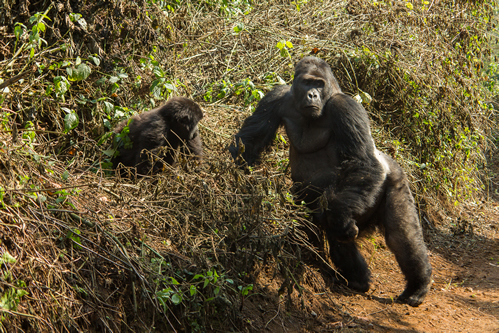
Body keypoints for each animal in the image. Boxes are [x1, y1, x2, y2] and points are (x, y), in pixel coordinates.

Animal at [230, 55, 434, 304]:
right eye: (307, 82)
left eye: (319, 84)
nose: (312, 95)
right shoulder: (276, 96)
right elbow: (250, 141)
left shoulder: (345, 107)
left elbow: (362, 161)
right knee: (330, 223)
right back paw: (357, 278)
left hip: (393, 177)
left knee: (399, 236)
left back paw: (417, 286)